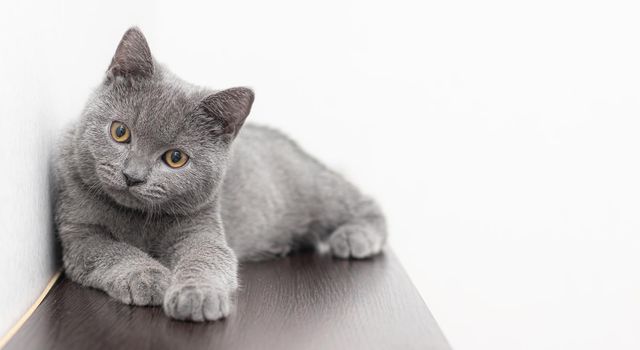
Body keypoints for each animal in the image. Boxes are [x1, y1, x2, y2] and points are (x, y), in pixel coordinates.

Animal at [53, 28, 384, 322]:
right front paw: (146, 275)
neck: (136, 218)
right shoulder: (78, 234)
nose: (133, 176)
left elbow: (207, 257)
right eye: (120, 132)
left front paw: (196, 295)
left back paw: (355, 237)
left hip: (316, 190)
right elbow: (111, 249)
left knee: (365, 203)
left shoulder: (202, 227)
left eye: (176, 158)